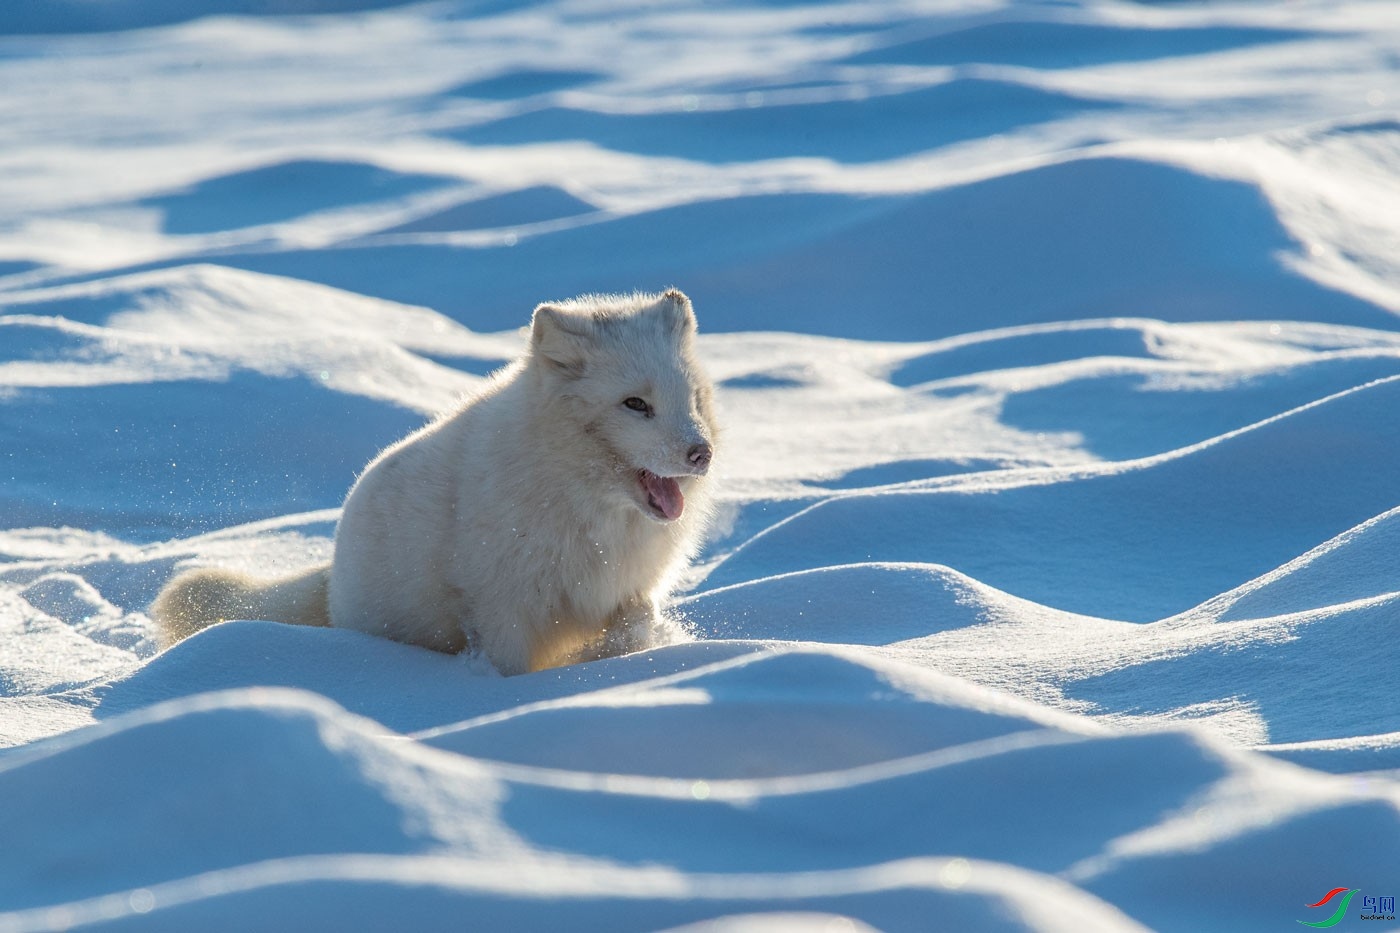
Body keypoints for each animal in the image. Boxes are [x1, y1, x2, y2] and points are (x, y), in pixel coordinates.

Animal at [150, 287, 722, 672]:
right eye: (635, 404)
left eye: (692, 399)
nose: (702, 454)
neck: (583, 504)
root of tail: (331, 574)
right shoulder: (502, 609)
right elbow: (511, 668)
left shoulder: (626, 590)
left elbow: (635, 622)